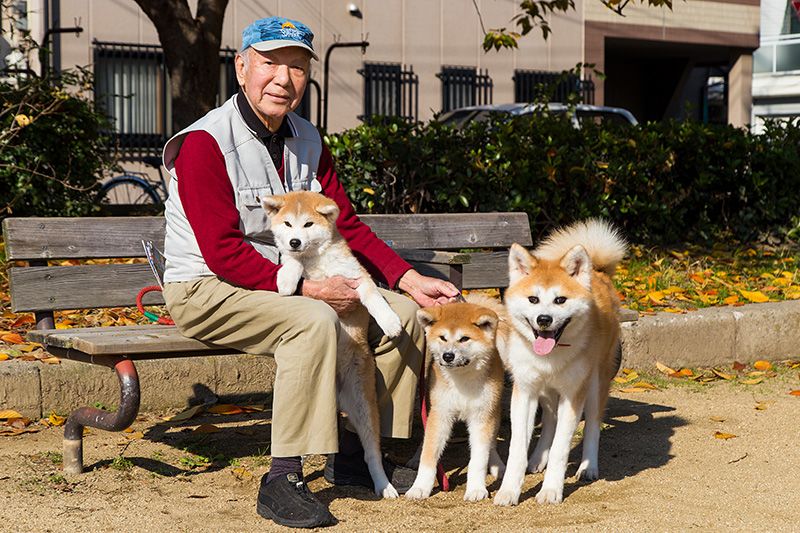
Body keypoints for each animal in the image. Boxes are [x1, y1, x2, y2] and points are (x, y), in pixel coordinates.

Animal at [262, 189, 404, 496]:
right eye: (288, 224)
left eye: (308, 224)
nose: (294, 241)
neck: (317, 260)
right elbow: (291, 262)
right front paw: (287, 279)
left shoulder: (358, 278)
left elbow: (374, 298)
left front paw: (389, 321)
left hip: (364, 407)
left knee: (372, 454)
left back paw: (384, 485)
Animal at [406, 294, 506, 500]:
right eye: (443, 337)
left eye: (464, 338)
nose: (448, 356)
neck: (462, 379)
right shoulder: (441, 413)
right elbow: (429, 454)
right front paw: (420, 487)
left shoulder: (482, 417)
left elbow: (479, 458)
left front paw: (476, 489)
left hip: (494, 411)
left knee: (491, 444)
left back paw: (497, 465)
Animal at [490, 218, 628, 504]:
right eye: (533, 299)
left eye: (560, 300)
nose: (544, 319)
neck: (551, 357)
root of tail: (598, 272)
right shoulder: (525, 392)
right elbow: (517, 449)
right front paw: (509, 490)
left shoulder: (573, 395)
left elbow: (561, 448)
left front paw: (551, 489)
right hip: (546, 392)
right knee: (549, 423)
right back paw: (536, 459)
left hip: (595, 384)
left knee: (592, 426)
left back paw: (588, 467)